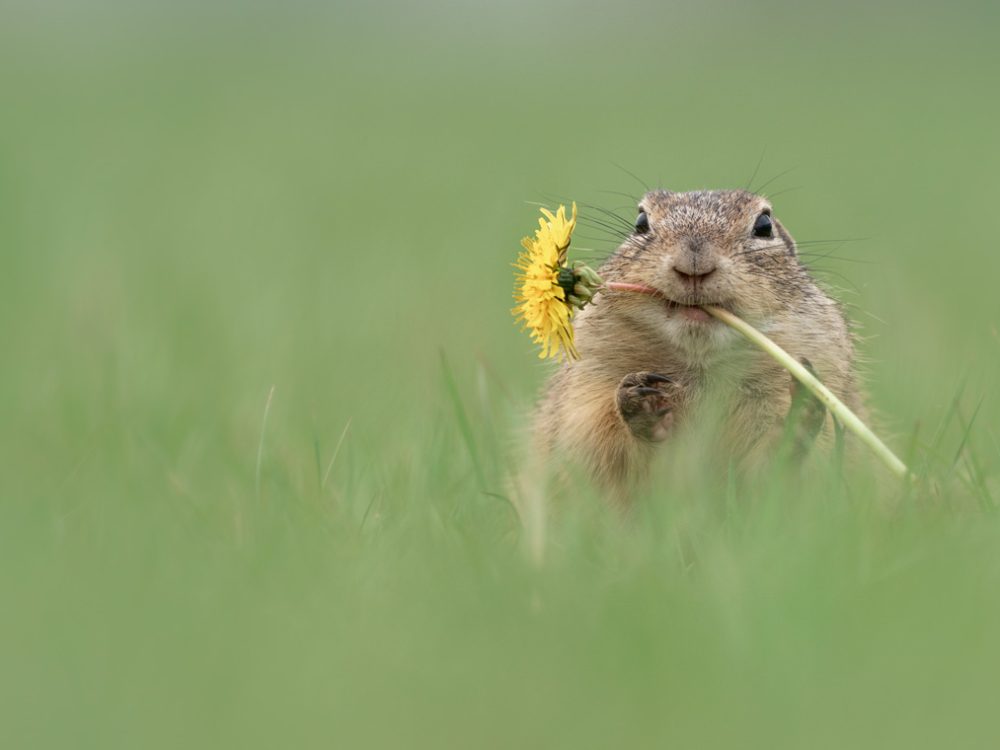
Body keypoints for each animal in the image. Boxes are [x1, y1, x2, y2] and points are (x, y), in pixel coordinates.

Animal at [536, 189, 864, 494]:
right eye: (640, 223)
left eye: (764, 225)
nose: (693, 261)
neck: (700, 365)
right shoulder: (584, 395)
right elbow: (600, 448)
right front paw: (639, 400)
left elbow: (778, 470)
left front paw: (801, 413)